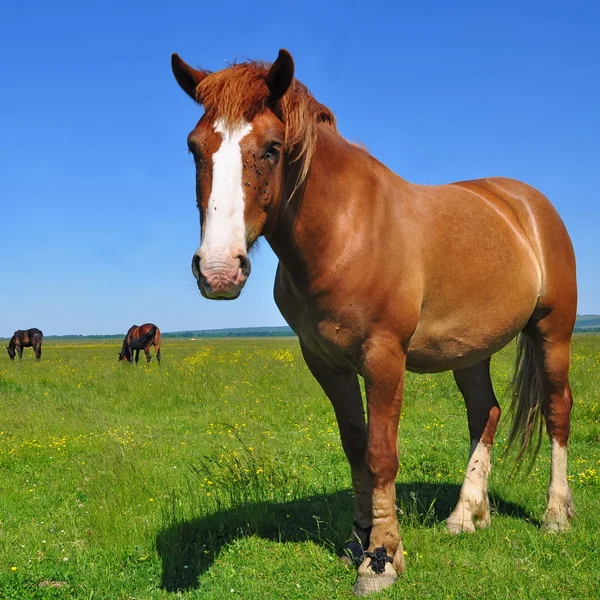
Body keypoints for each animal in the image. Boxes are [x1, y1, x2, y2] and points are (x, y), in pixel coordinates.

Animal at [171, 48, 580, 596]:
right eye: (195, 147)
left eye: (273, 148)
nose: (218, 270)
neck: (346, 230)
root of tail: (526, 205)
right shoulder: (327, 363)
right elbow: (355, 446)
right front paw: (357, 540)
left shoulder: (384, 358)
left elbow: (382, 454)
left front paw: (381, 558)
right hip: (471, 350)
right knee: (485, 414)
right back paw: (466, 515)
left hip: (553, 332)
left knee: (557, 411)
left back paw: (556, 515)